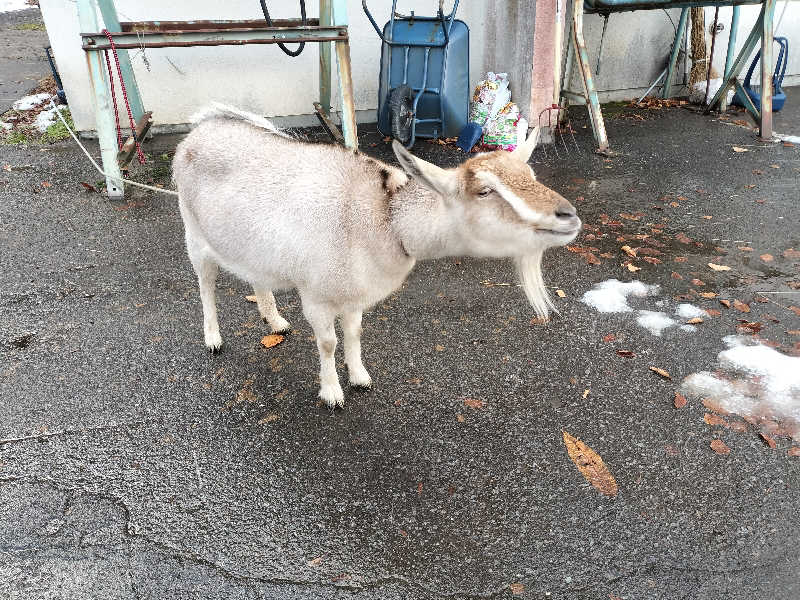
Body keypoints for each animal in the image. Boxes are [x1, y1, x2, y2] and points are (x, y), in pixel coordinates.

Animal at [172, 106, 580, 408]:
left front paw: (359, 378)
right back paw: (213, 338)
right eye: (484, 191)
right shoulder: (317, 296)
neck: (384, 219)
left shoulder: (354, 293)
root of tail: (198, 130)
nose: (569, 216)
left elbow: (354, 333)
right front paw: (332, 393)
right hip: (193, 231)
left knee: (257, 276)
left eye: (531, 173)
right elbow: (328, 342)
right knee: (205, 284)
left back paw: (275, 321)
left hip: (253, 245)